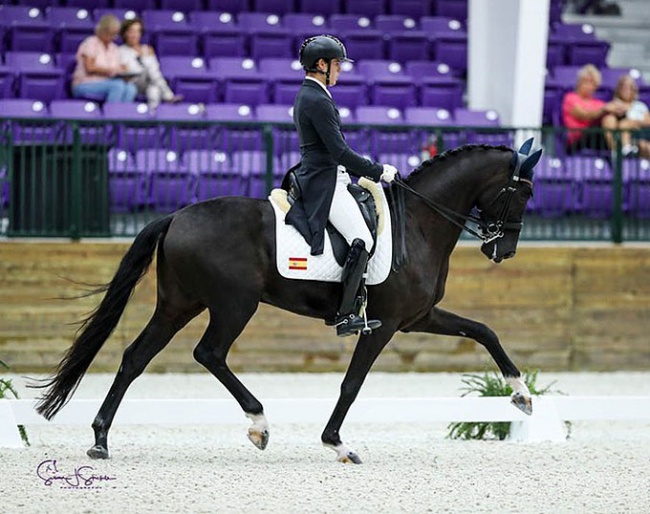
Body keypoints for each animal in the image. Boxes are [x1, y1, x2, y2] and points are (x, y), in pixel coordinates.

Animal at [35, 141, 540, 464]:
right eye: (525, 191)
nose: (505, 250)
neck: (417, 222)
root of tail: (177, 214)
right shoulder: (384, 322)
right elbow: (352, 384)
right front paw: (337, 444)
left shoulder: (418, 317)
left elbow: (484, 331)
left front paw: (521, 395)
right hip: (235, 304)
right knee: (209, 353)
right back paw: (258, 423)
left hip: (179, 303)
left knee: (135, 357)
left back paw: (101, 439)